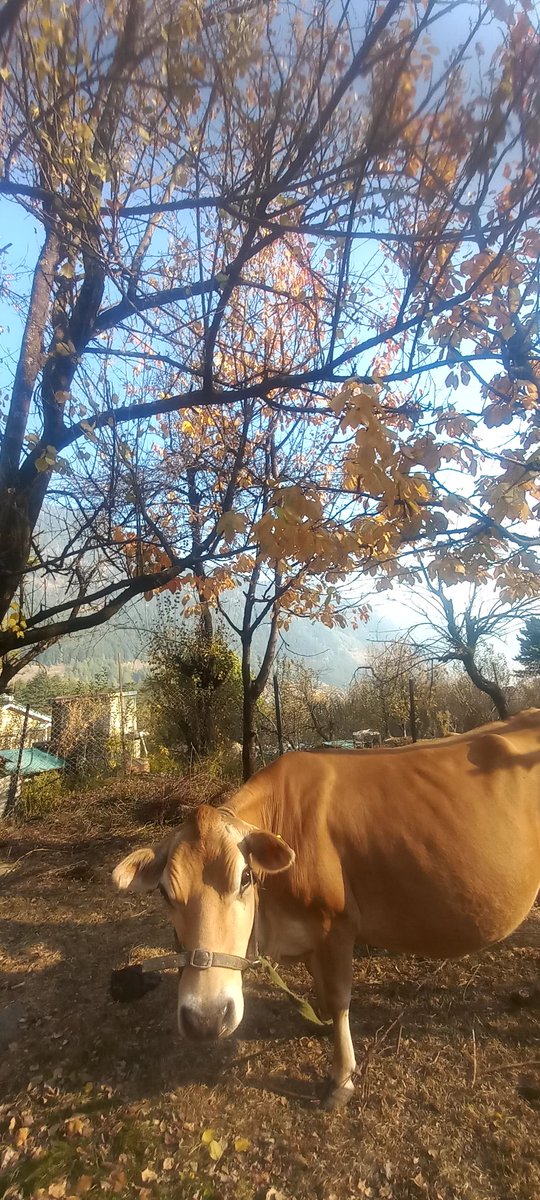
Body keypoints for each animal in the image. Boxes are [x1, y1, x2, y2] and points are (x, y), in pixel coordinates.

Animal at [113, 708, 540, 1110]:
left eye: (245, 878)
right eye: (164, 892)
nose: (205, 1018)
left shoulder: (334, 925)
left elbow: (338, 998)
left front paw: (341, 1077)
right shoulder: (309, 936)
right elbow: (320, 990)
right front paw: (317, 1023)